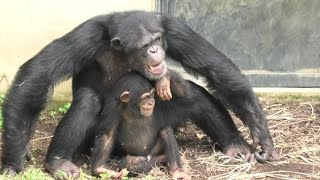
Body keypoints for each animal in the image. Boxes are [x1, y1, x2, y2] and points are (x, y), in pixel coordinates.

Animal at [1, 9, 278, 176]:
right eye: (145, 46)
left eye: (156, 40)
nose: (155, 50)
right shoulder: (85, 36)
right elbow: (37, 76)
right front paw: (13, 162)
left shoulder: (173, 28)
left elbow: (215, 68)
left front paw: (261, 134)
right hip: (101, 143)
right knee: (87, 100)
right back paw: (58, 161)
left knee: (195, 93)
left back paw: (234, 145)